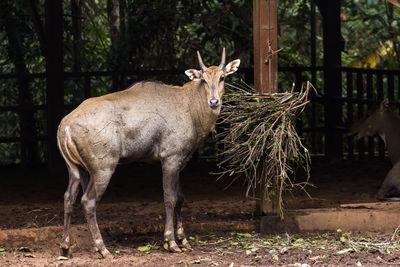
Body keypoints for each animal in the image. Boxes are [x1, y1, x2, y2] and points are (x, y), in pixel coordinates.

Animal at [57, 49, 239, 258]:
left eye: (222, 77)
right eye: (203, 79)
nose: (214, 101)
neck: (190, 107)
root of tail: (65, 126)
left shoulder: (180, 161)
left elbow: (181, 197)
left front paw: (183, 240)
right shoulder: (170, 158)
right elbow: (170, 197)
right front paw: (171, 242)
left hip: (75, 167)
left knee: (68, 198)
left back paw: (65, 246)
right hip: (103, 167)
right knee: (88, 201)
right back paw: (103, 248)